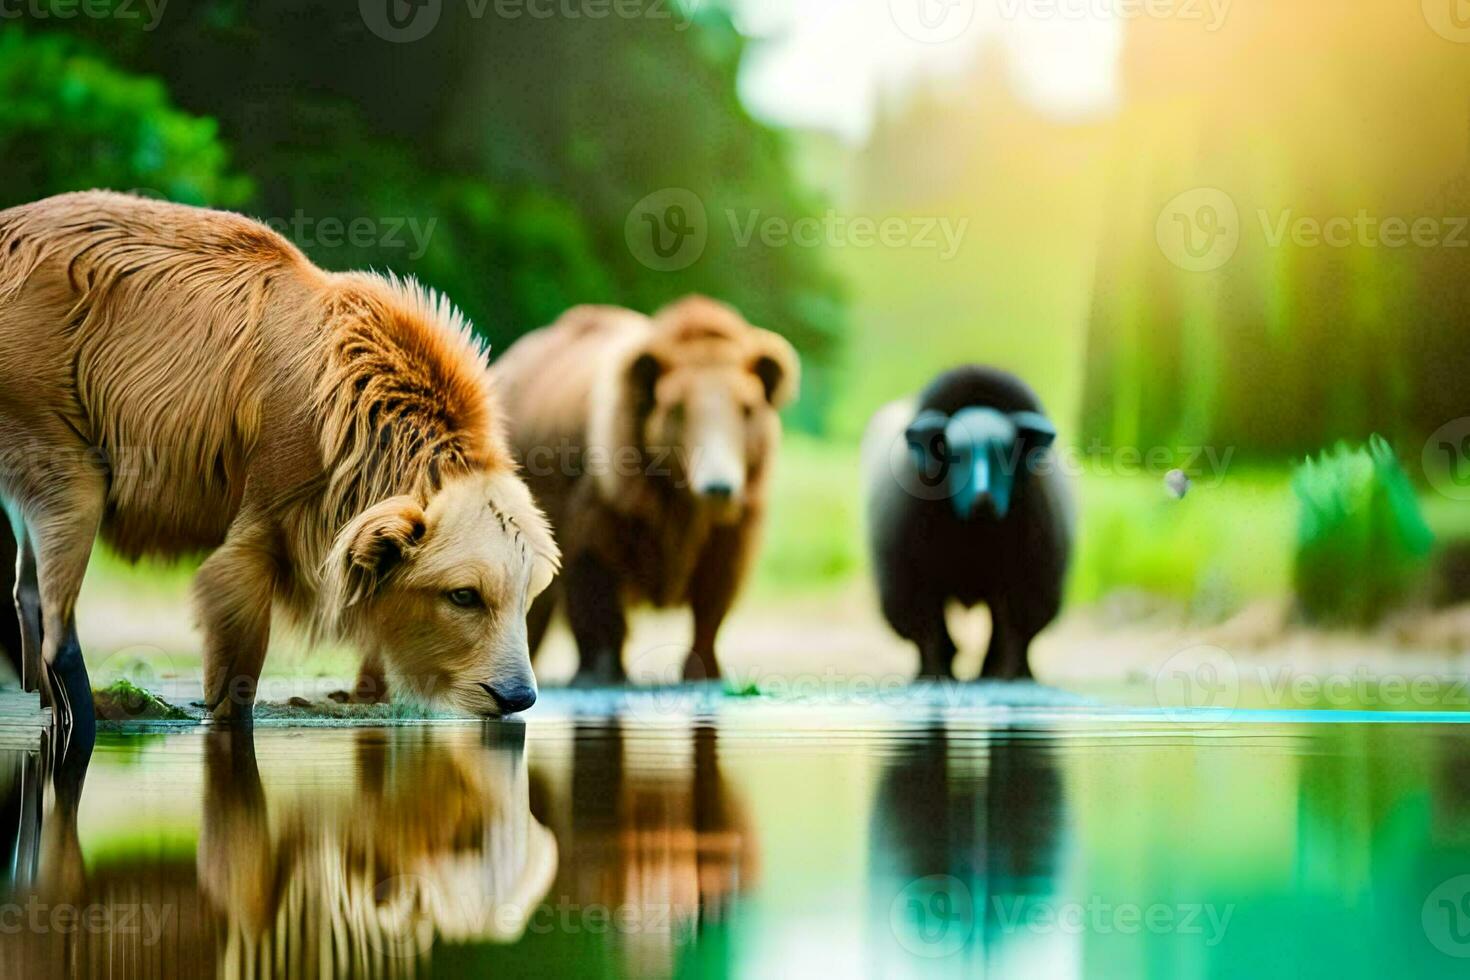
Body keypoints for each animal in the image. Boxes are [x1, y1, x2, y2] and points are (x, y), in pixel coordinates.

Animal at [0, 191, 555, 728]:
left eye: (525, 593)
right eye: (463, 594)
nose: (516, 694)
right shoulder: (275, 475)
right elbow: (236, 606)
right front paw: (224, 709)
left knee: (27, 583)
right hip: (48, 403)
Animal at [493, 296, 799, 681]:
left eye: (747, 408)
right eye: (678, 408)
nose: (719, 486)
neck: (678, 497)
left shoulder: (732, 524)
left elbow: (716, 589)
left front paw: (704, 664)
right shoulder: (602, 503)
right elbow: (593, 583)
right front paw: (602, 667)